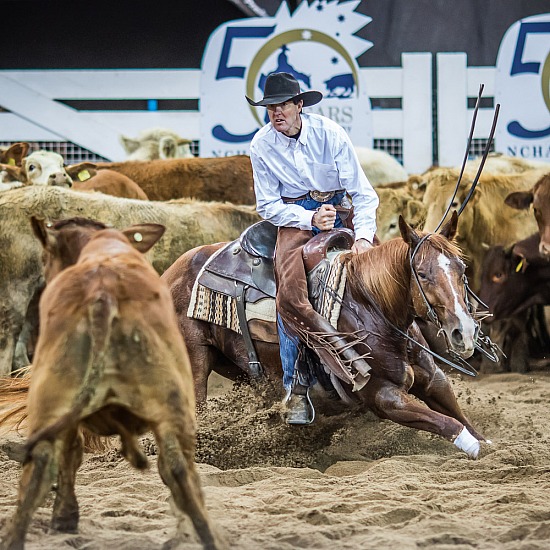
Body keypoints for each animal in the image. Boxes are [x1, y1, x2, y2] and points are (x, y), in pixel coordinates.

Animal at [163, 216, 488, 462]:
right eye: (421, 273)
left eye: (462, 268)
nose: (463, 332)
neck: (370, 306)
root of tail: (170, 273)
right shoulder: (384, 397)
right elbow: (446, 422)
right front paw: (473, 447)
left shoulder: (432, 379)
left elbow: (457, 413)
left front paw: (487, 444)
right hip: (195, 360)